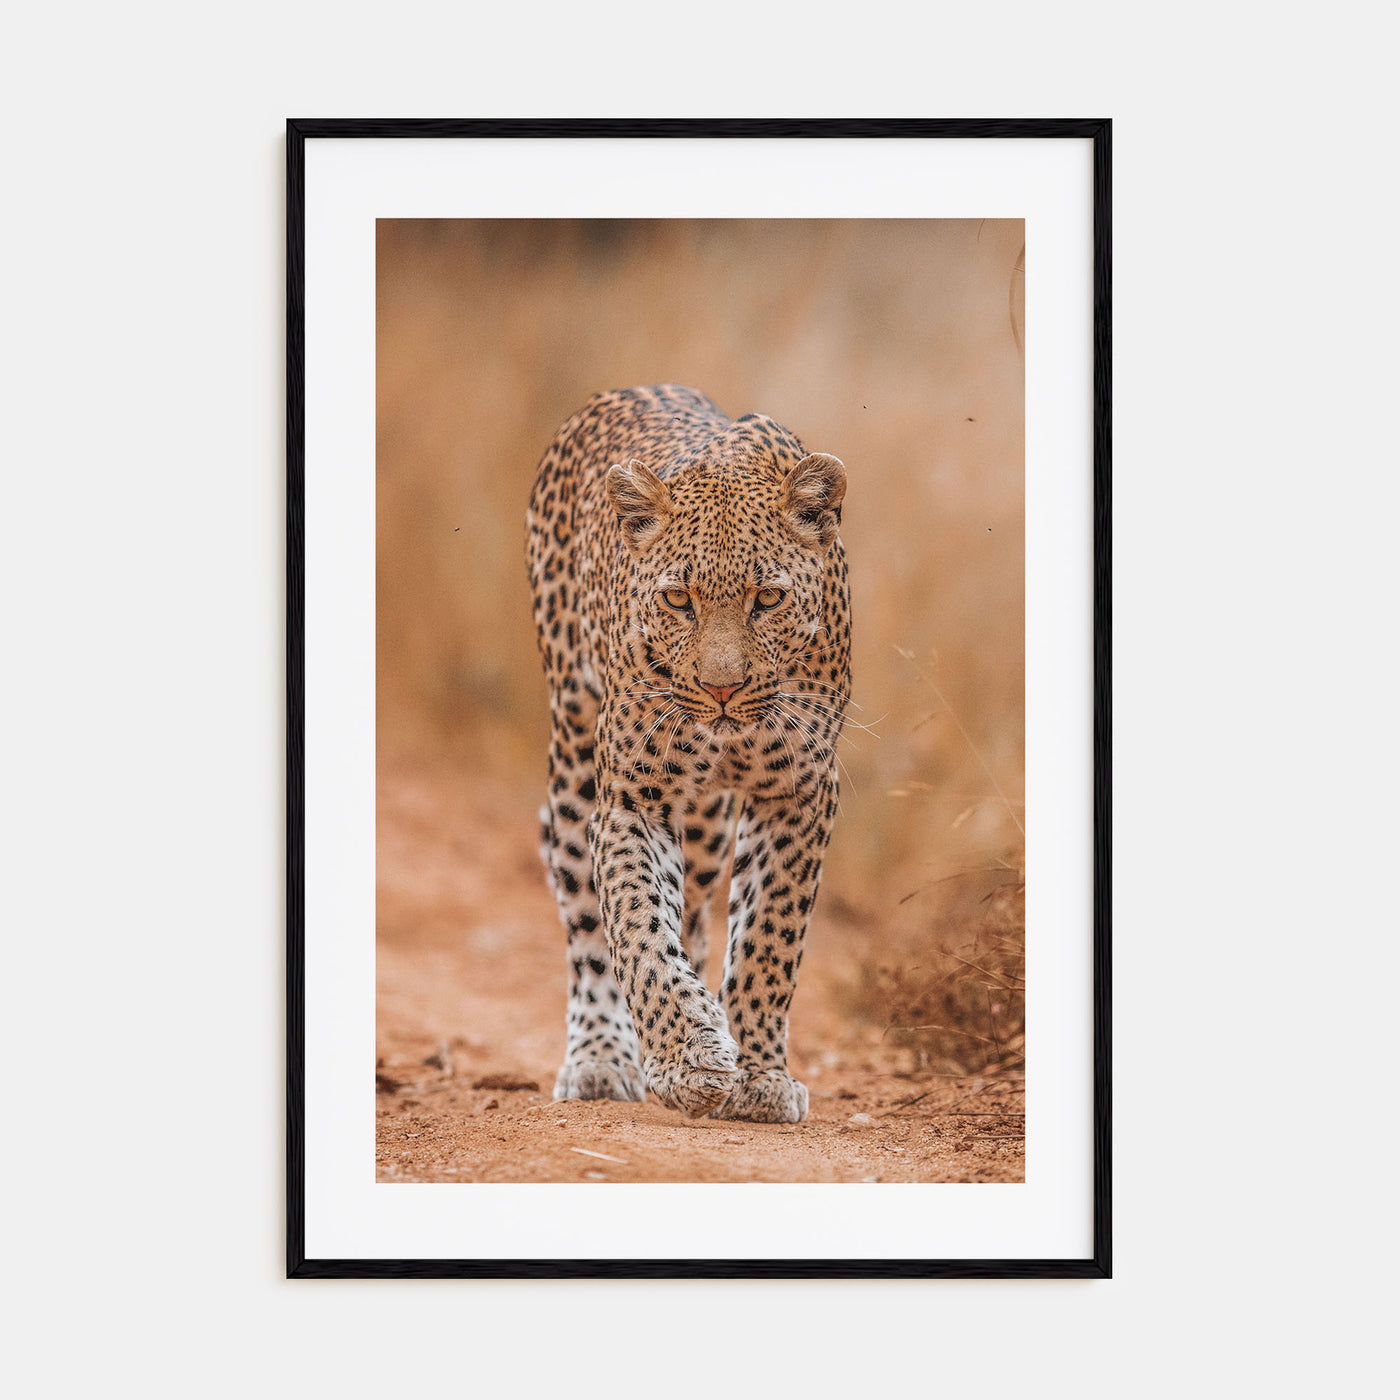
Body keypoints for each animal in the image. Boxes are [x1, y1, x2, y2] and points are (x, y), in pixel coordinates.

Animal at [525, 384, 851, 1123]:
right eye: (678, 598)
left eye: (768, 598)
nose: (720, 688)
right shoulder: (633, 797)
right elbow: (639, 929)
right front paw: (687, 1058)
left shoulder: (799, 791)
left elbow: (767, 938)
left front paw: (758, 1075)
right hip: (575, 758)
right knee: (586, 917)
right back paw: (603, 1058)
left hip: (706, 827)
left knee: (699, 912)